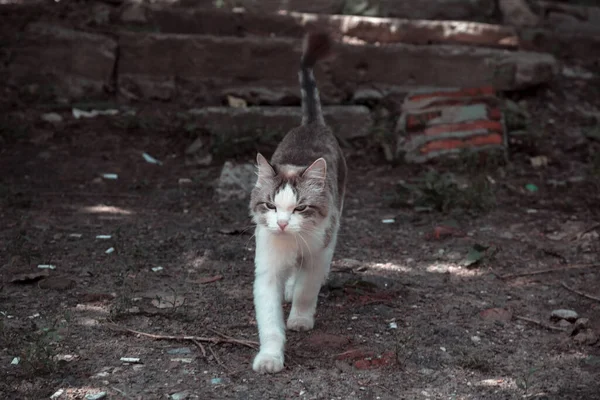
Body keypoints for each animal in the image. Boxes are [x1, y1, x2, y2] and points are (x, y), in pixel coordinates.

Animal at [247, 32, 346, 376]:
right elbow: (269, 321)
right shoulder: (266, 266)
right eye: (271, 206)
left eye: (300, 208)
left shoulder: (319, 251)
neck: (291, 241)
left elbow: (307, 288)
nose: (282, 223)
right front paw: (270, 356)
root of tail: (311, 124)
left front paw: (301, 318)